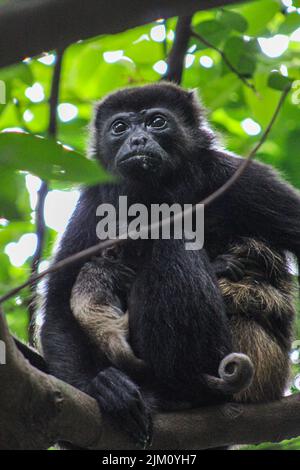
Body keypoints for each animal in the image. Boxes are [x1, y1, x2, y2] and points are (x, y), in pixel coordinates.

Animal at [39, 83, 298, 448]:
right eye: (120, 127)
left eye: (157, 122)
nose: (137, 140)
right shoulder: (92, 201)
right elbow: (59, 302)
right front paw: (101, 385)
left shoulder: (241, 177)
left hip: (259, 363)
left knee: (172, 239)